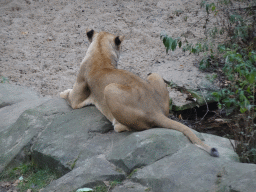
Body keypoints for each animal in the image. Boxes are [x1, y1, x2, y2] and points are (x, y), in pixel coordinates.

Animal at [59, 29, 219, 157]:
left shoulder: (76, 98)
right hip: (154, 74)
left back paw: (118, 125)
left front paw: (62, 92)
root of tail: (154, 110)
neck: (101, 52)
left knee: (139, 128)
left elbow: (67, 94)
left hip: (109, 89)